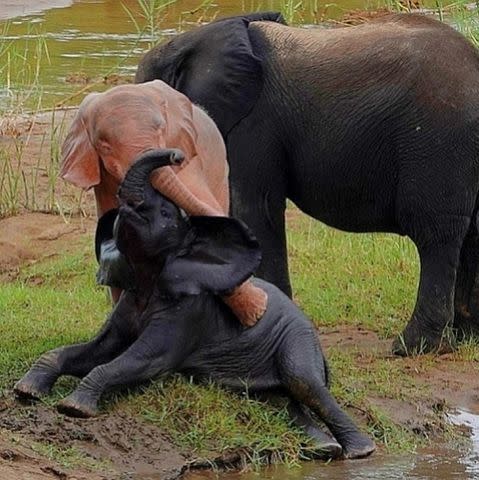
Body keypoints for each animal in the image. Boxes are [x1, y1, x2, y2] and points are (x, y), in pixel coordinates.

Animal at [14, 150, 376, 462]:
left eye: (165, 214)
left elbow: (144, 359)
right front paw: (26, 391)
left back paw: (360, 451)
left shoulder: (188, 311)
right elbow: (97, 350)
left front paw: (73, 408)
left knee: (303, 382)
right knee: (281, 399)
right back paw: (324, 449)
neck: (151, 277)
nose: (177, 156)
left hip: (297, 338)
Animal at [136, 12, 479, 356]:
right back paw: (466, 337)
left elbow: (254, 209)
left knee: (436, 234)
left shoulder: (252, 124)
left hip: (437, 143)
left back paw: (414, 348)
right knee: (471, 235)